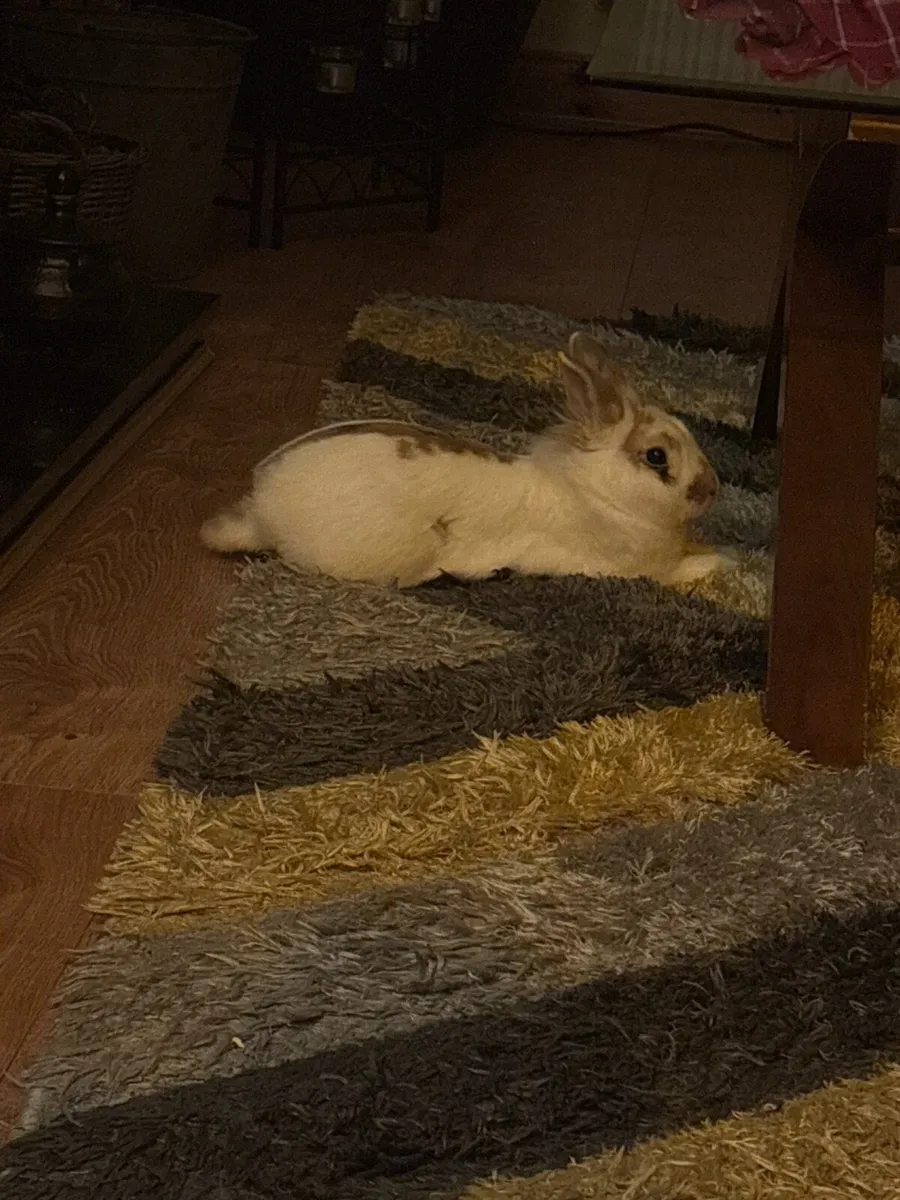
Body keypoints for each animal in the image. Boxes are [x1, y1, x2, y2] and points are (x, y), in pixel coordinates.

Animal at [200, 331, 735, 588]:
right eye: (656, 457)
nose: (712, 489)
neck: (598, 493)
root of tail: (260, 511)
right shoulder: (632, 569)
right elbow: (680, 572)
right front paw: (720, 563)